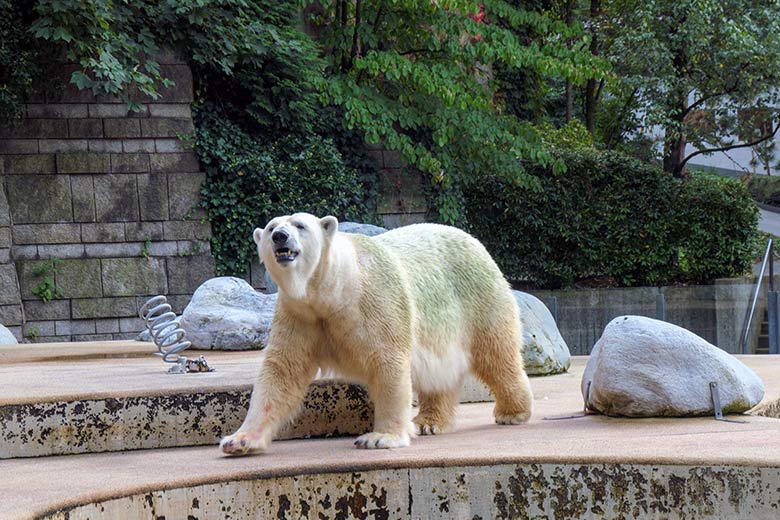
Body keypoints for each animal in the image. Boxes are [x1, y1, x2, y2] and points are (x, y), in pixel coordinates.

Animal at [222, 213, 532, 452]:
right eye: (271, 227)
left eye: (300, 225)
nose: (280, 237)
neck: (333, 291)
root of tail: (476, 243)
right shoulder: (300, 315)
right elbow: (282, 372)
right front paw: (239, 440)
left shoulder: (375, 303)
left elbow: (388, 362)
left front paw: (380, 438)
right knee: (441, 375)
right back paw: (429, 421)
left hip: (477, 298)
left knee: (496, 353)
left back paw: (513, 412)